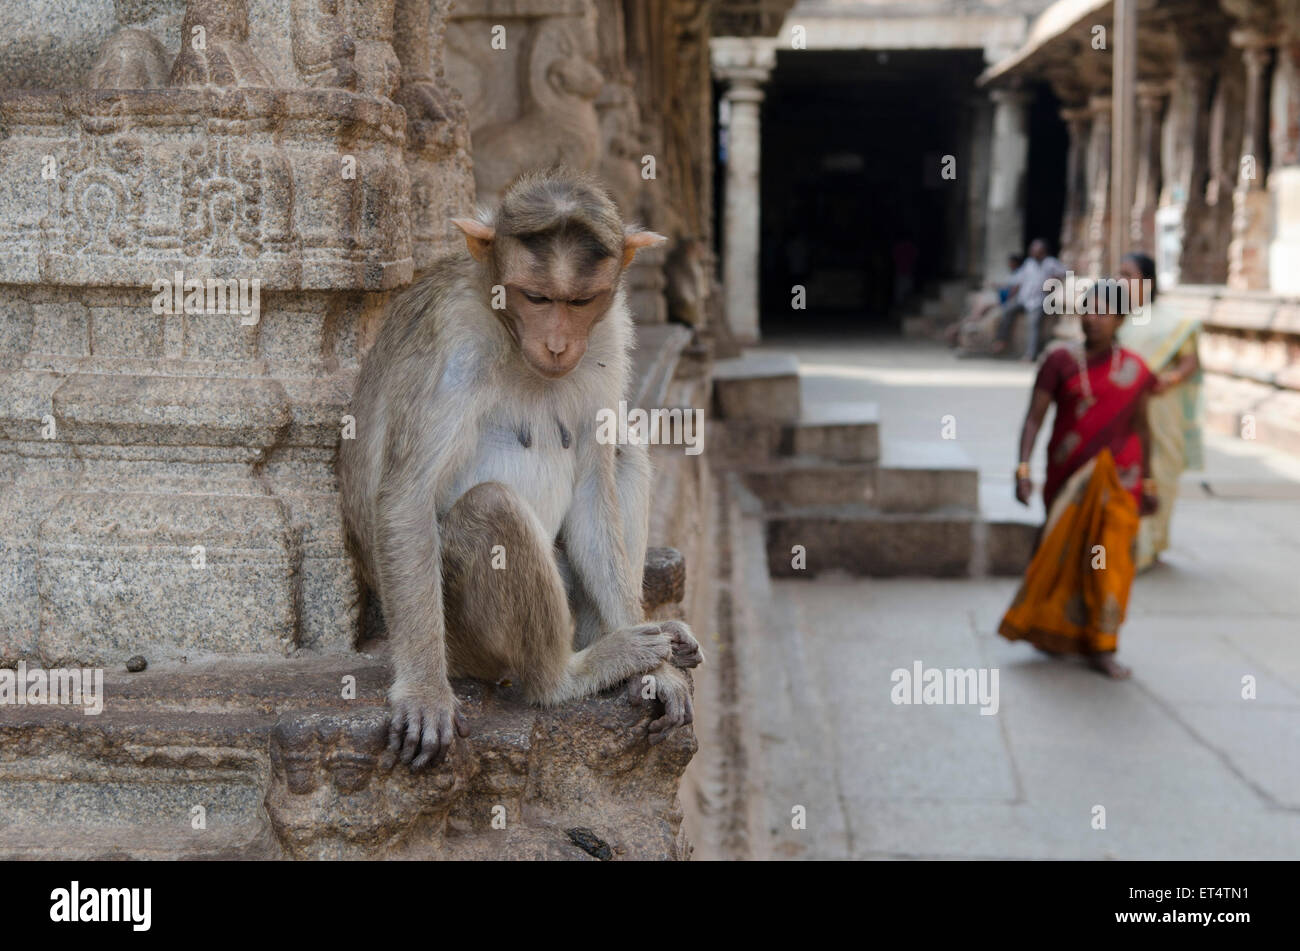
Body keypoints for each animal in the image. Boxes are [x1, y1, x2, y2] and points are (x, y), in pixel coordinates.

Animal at [335, 164, 702, 774]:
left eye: (580, 302)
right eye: (536, 297)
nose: (556, 344)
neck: (504, 324)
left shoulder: (609, 334)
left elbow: (593, 486)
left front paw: (661, 675)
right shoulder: (454, 344)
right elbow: (407, 498)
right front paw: (425, 695)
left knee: (622, 449)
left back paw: (634, 636)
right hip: (462, 641)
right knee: (492, 507)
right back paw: (567, 676)